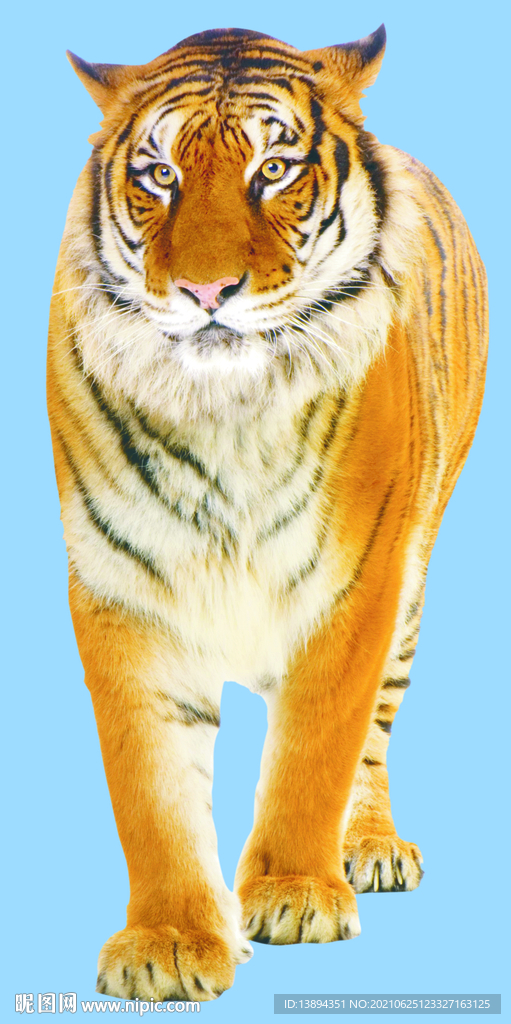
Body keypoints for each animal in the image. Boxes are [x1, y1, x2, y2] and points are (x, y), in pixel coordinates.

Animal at [47, 24, 488, 1002]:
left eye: (274, 169)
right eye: (160, 175)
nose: (207, 292)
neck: (227, 412)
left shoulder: (355, 582)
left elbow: (316, 750)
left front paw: (294, 893)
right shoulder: (124, 588)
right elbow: (151, 788)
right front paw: (169, 941)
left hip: (413, 577)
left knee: (374, 734)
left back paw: (369, 849)